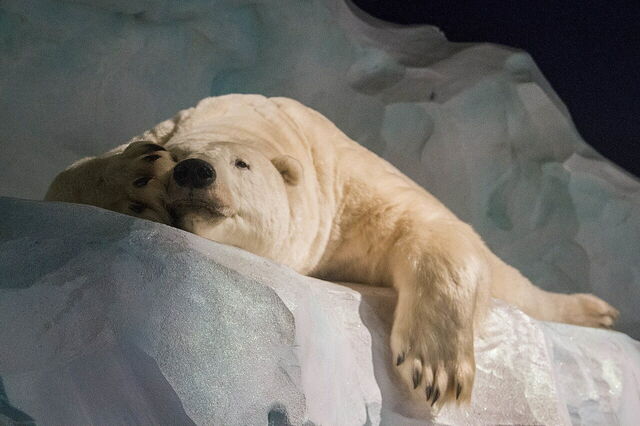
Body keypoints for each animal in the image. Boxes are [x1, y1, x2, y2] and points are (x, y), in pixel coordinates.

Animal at [45, 94, 619, 407]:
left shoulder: (346, 189)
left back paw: (597, 311)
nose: (193, 171)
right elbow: (64, 182)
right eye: (176, 155)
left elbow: (432, 232)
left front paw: (435, 371)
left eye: (241, 164)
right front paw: (131, 179)